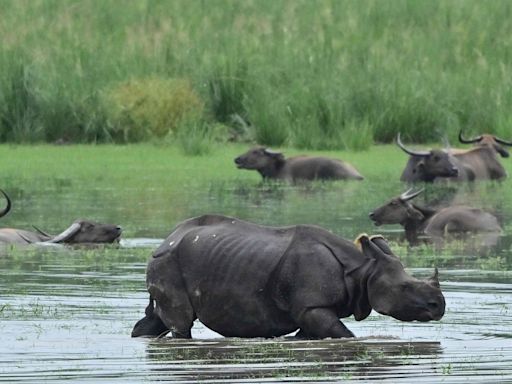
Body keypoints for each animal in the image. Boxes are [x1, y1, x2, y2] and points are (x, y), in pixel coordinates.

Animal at [132, 216, 444, 340]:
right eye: (405, 287)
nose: (439, 306)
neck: (362, 270)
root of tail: (167, 239)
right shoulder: (312, 306)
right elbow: (345, 335)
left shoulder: (310, 310)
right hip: (168, 261)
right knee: (181, 322)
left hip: (171, 260)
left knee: (161, 318)